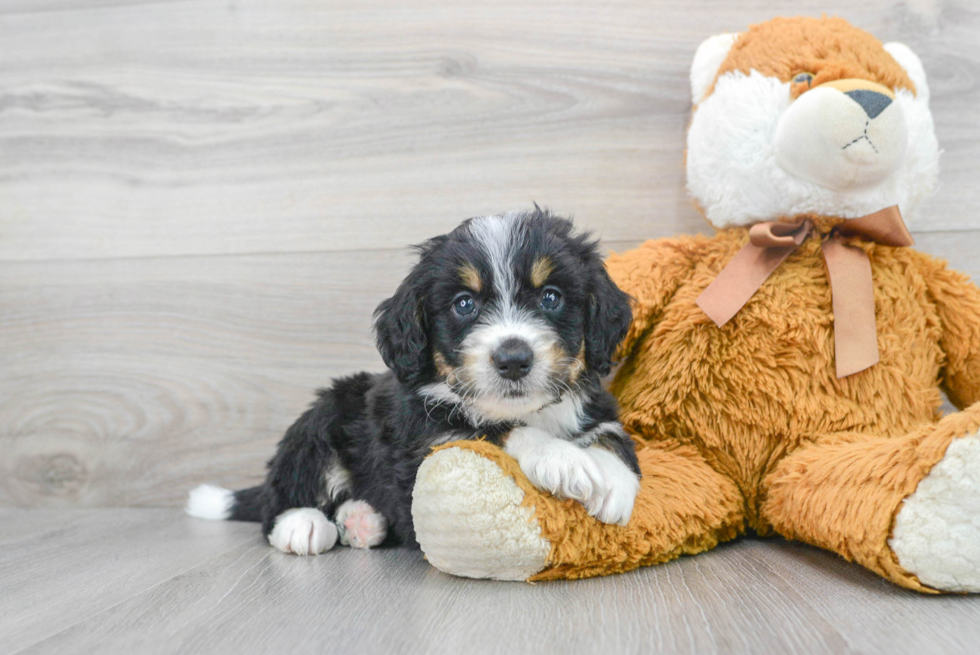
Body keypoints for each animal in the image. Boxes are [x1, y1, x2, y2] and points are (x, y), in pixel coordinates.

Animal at [188, 209, 640, 552]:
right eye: (464, 304)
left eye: (551, 297)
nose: (513, 359)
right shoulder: (425, 441)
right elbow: (491, 431)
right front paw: (562, 458)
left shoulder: (595, 405)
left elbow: (612, 434)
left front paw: (614, 482)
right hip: (326, 411)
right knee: (283, 495)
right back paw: (302, 524)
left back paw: (362, 520)